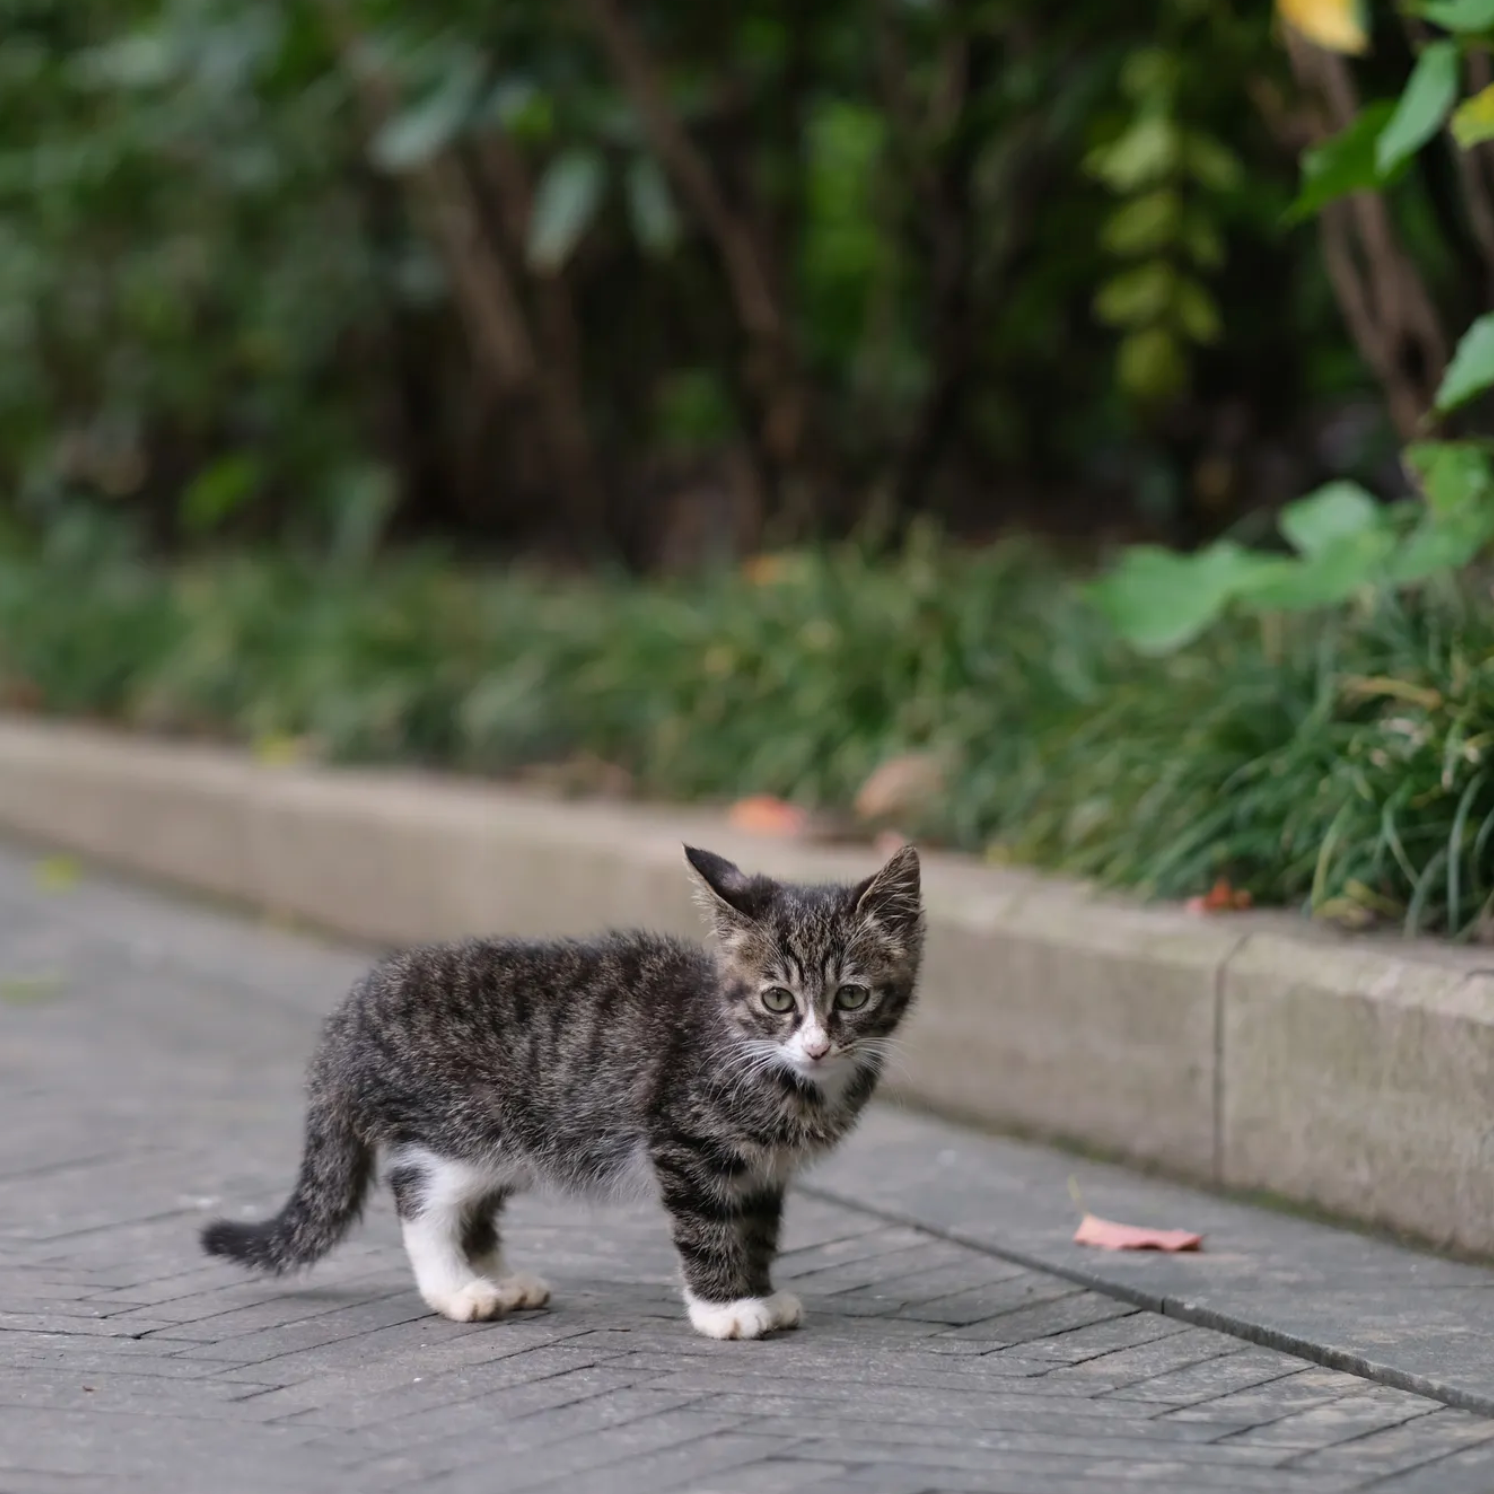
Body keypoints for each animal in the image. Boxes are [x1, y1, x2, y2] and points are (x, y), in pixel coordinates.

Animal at [198, 842, 920, 1344]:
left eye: (851, 997)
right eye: (778, 1000)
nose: (818, 1045)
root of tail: (352, 1012)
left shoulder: (764, 1168)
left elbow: (757, 1231)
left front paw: (760, 1295)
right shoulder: (686, 1141)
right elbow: (709, 1227)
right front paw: (724, 1310)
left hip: (516, 1135)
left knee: (473, 1206)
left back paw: (501, 1279)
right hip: (461, 1128)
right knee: (421, 1196)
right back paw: (458, 1291)